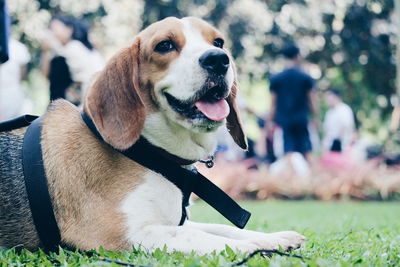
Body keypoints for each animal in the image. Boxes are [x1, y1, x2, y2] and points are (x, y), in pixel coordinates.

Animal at [0, 16, 304, 255]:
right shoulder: (120, 233)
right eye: (165, 45)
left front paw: (274, 238)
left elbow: (220, 228)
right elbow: (193, 234)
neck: (149, 152)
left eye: (218, 42)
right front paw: (251, 247)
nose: (218, 59)